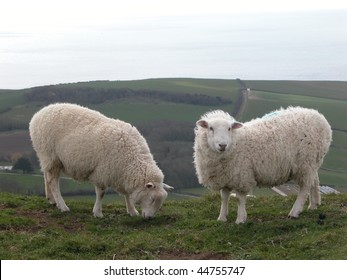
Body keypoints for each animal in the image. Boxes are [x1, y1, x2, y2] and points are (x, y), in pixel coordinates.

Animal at [29, 103, 174, 219]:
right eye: (152, 199)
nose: (149, 218)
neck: (131, 159)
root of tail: (37, 115)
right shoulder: (102, 172)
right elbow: (101, 194)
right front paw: (98, 213)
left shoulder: (122, 175)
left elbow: (127, 194)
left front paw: (132, 211)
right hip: (51, 155)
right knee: (53, 182)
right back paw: (62, 206)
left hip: (47, 157)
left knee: (46, 176)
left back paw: (51, 199)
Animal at [194, 106, 334, 223]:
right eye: (211, 128)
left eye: (229, 128)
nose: (222, 145)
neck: (236, 142)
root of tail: (320, 117)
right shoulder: (226, 176)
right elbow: (224, 197)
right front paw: (222, 218)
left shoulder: (243, 176)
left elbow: (239, 199)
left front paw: (240, 219)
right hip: (312, 161)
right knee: (314, 181)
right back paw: (314, 204)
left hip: (305, 162)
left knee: (305, 187)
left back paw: (294, 212)